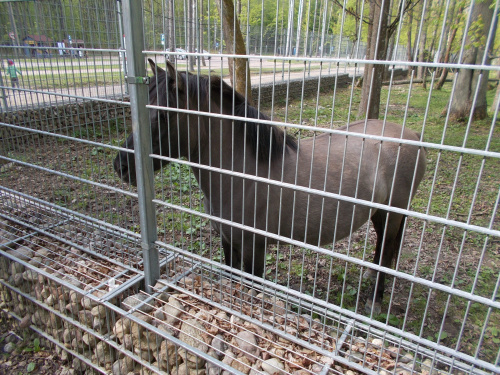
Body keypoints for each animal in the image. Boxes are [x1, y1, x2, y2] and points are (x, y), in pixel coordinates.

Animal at [115, 60, 428, 312]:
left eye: (162, 115)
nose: (122, 166)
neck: (243, 173)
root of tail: (412, 135)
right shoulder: (228, 242)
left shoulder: (253, 248)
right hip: (379, 213)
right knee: (382, 249)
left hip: (394, 213)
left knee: (386, 251)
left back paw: (375, 300)